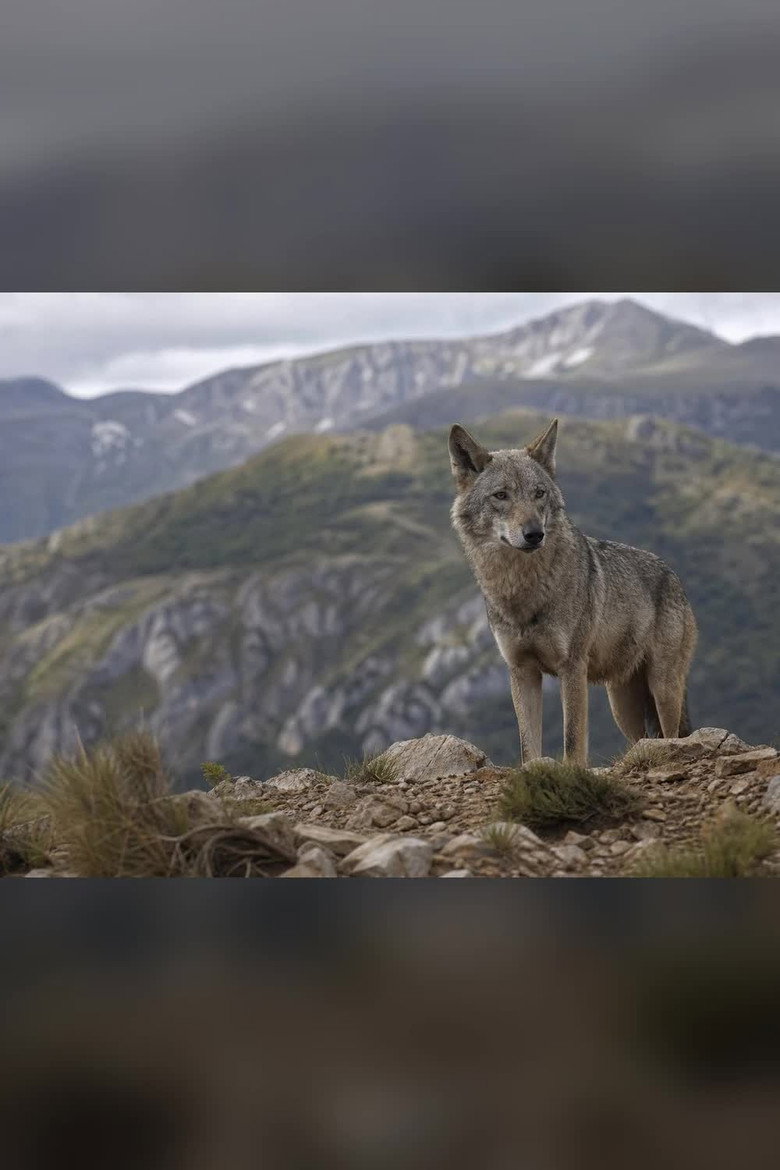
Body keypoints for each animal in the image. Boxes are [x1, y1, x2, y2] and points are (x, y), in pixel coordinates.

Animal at [449, 418, 697, 764]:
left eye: (538, 493)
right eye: (501, 495)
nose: (534, 534)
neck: (523, 592)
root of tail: (673, 575)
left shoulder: (572, 668)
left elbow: (572, 740)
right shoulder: (522, 671)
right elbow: (528, 746)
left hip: (662, 687)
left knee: (672, 735)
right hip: (622, 705)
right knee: (644, 739)